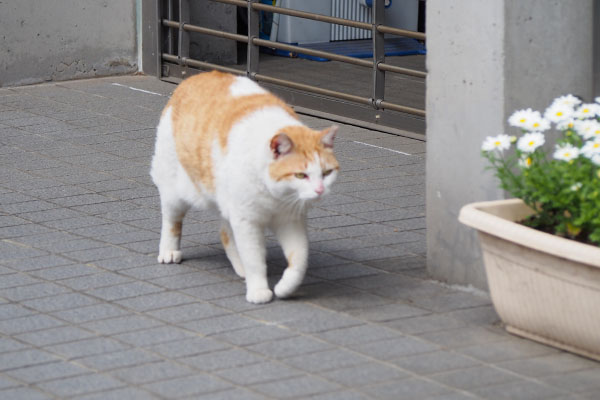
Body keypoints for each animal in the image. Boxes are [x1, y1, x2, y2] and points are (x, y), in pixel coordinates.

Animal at [150, 72, 338, 304]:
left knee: (225, 232)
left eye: (327, 173)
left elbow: (300, 259)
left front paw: (285, 288)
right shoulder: (247, 221)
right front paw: (258, 290)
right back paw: (169, 251)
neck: (276, 196)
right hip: (175, 190)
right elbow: (254, 260)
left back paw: (240, 268)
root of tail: (195, 76)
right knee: (172, 221)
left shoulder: (291, 220)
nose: (320, 190)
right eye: (301, 175)